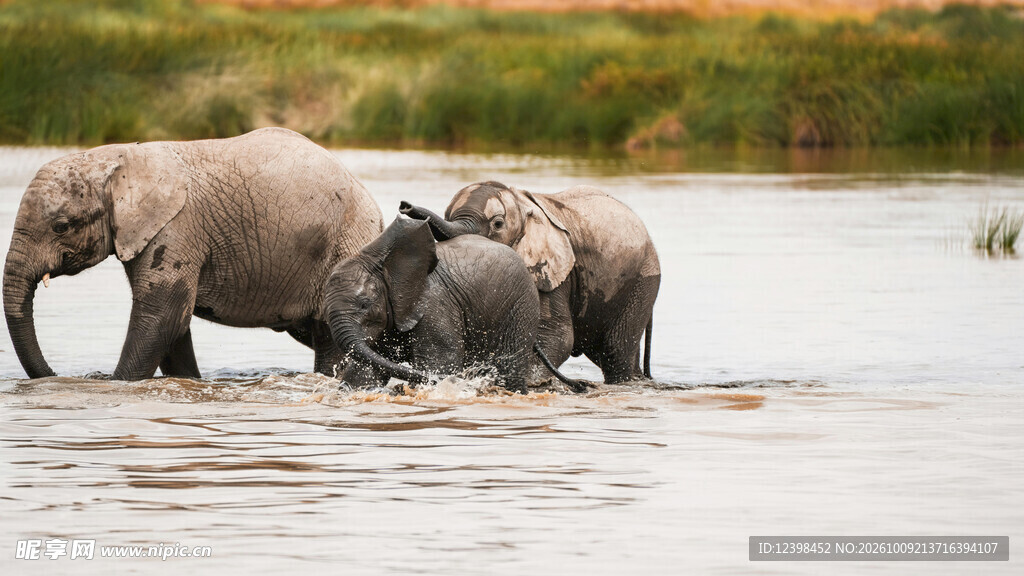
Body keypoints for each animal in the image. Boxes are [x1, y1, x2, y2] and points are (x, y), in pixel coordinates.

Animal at [3, 127, 384, 380]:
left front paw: (113, 383)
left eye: (61, 226)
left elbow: (161, 315)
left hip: (345, 242)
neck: (119, 159)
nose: (56, 376)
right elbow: (173, 324)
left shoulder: (177, 228)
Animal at [323, 216, 583, 394]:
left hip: (520, 308)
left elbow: (441, 364)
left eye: (364, 304)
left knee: (509, 370)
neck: (386, 266)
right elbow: (365, 369)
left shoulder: (435, 306)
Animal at [400, 181, 660, 384]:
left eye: (498, 224)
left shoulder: (553, 272)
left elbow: (558, 335)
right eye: (446, 217)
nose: (404, 206)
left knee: (615, 351)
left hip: (643, 280)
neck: (522, 202)